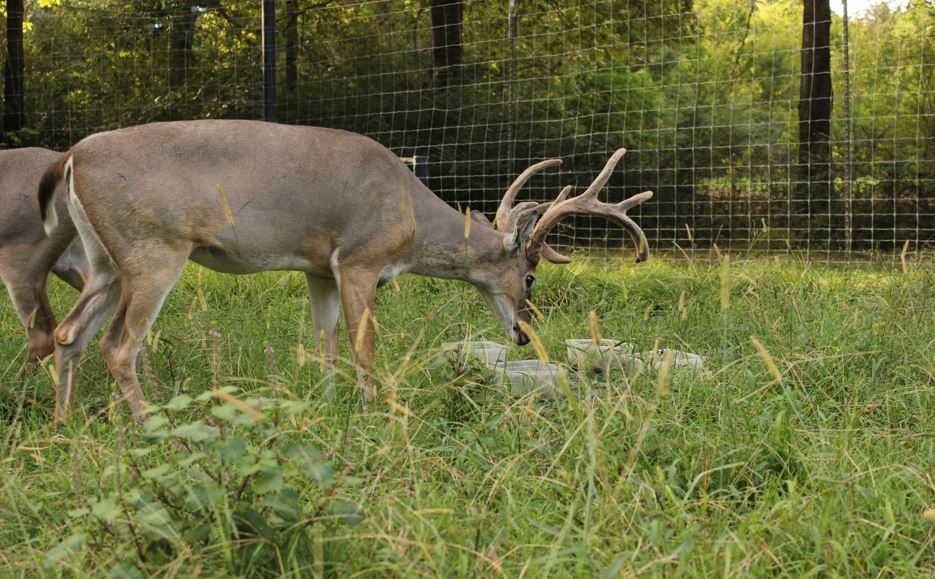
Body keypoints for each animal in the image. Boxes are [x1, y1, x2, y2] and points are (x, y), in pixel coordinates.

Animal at [38, 120, 652, 420]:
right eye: (529, 277)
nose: (524, 331)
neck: (409, 213)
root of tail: (70, 158)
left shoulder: (319, 269)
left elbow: (326, 342)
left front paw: (330, 406)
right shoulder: (359, 257)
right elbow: (364, 345)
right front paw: (372, 410)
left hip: (103, 259)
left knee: (68, 332)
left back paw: (65, 426)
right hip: (154, 249)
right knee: (117, 344)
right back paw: (152, 424)